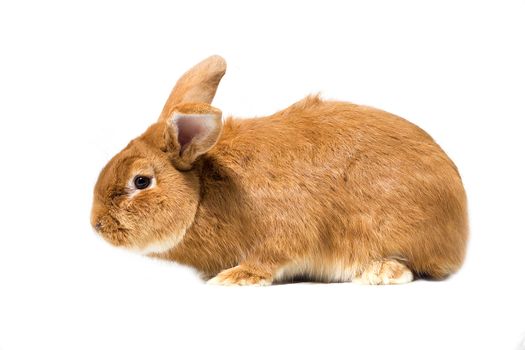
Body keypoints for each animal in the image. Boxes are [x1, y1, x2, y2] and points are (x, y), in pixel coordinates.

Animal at [90, 54, 466, 284]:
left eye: (141, 181)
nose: (96, 224)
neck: (204, 191)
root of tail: (461, 232)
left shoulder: (282, 232)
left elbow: (270, 257)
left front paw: (236, 278)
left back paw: (380, 271)